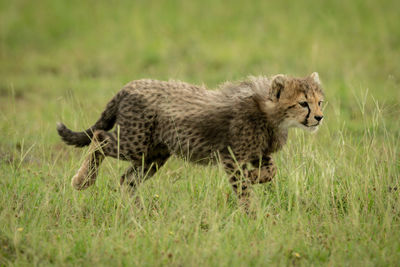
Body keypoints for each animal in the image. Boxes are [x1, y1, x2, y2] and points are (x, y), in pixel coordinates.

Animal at [57, 72, 324, 210]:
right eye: (303, 103)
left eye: (320, 101)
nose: (319, 117)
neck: (270, 112)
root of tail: (131, 84)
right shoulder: (231, 156)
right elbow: (243, 188)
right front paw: (251, 212)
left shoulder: (259, 154)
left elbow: (271, 171)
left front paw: (253, 178)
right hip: (135, 142)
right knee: (100, 139)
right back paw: (82, 181)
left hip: (155, 154)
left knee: (128, 179)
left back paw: (139, 212)